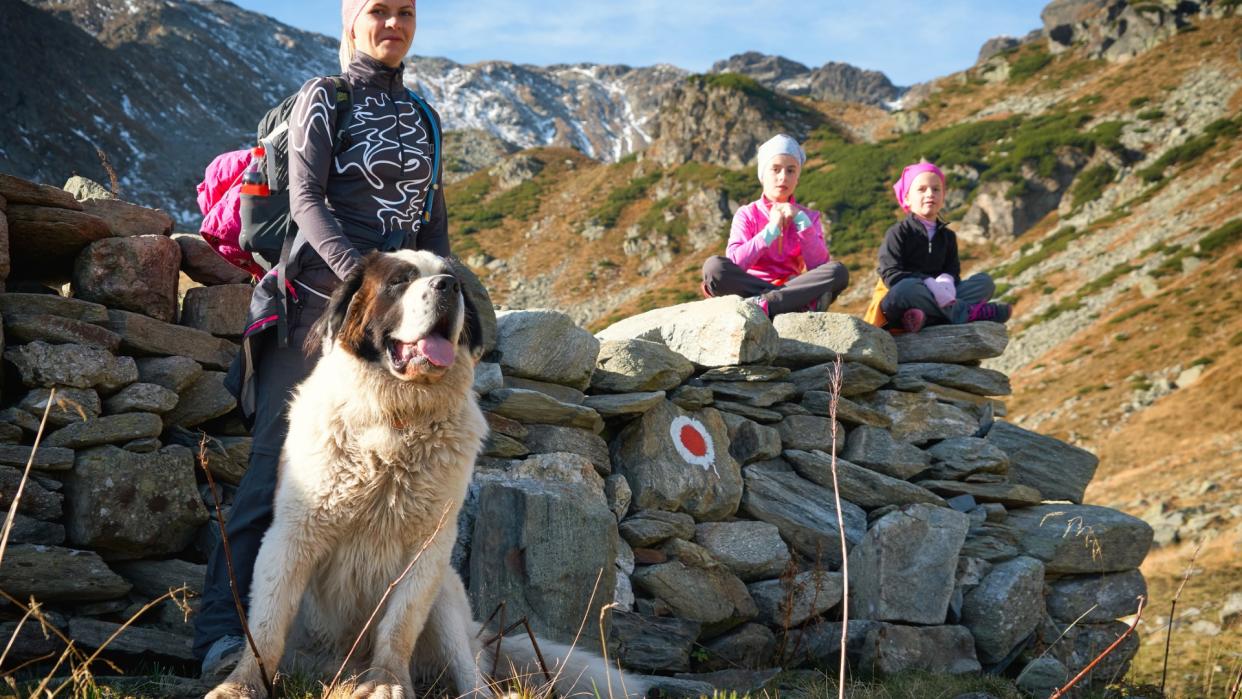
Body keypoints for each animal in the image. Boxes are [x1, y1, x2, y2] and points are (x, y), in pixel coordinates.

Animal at [208, 253, 645, 699]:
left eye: (452, 279)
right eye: (398, 282)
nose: (446, 287)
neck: (398, 417)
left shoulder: (429, 549)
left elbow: (399, 625)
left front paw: (386, 682)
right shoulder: (292, 535)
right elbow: (267, 624)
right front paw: (240, 685)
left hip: (449, 598)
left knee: (472, 673)